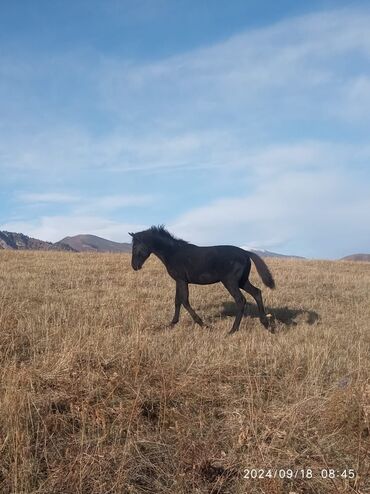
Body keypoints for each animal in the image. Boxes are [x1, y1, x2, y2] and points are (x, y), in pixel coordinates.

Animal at [128, 226, 274, 334]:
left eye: (135, 246)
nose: (135, 266)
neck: (174, 252)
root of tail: (246, 253)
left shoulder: (182, 280)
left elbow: (184, 301)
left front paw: (203, 325)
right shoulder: (178, 281)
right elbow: (177, 301)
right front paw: (171, 324)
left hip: (230, 282)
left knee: (241, 300)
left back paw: (232, 330)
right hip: (242, 281)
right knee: (257, 292)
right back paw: (266, 325)